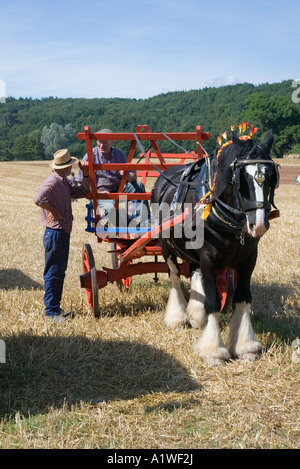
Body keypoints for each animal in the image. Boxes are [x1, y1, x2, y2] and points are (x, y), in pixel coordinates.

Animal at [151, 129, 280, 366]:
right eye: (241, 179)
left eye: (270, 177)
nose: (258, 225)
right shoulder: (209, 258)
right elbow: (212, 301)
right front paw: (213, 350)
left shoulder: (249, 258)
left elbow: (243, 296)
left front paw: (245, 345)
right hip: (166, 246)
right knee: (174, 275)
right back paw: (177, 316)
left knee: (194, 271)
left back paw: (195, 315)